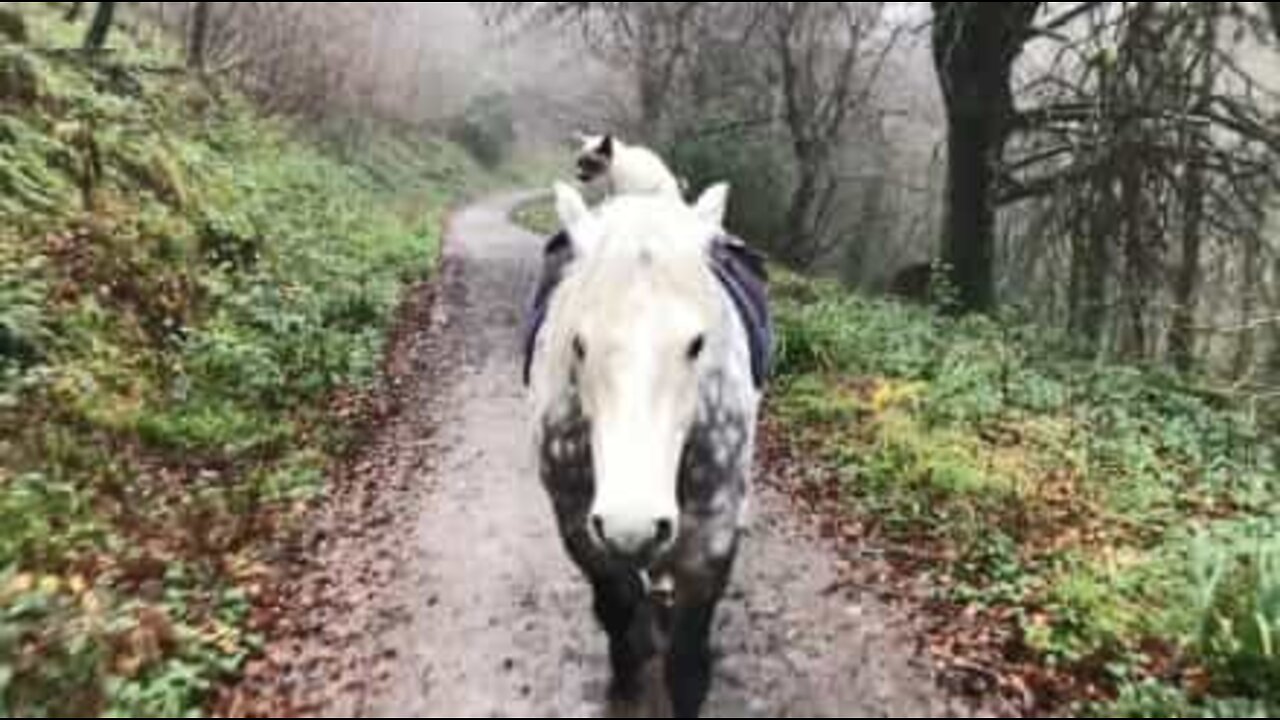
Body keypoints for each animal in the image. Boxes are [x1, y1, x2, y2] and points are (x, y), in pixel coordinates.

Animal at [527, 181, 768, 712]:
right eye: (579, 344)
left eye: (697, 344)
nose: (631, 525)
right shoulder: (582, 533)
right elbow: (617, 613)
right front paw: (626, 678)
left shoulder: (710, 541)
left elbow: (687, 661)